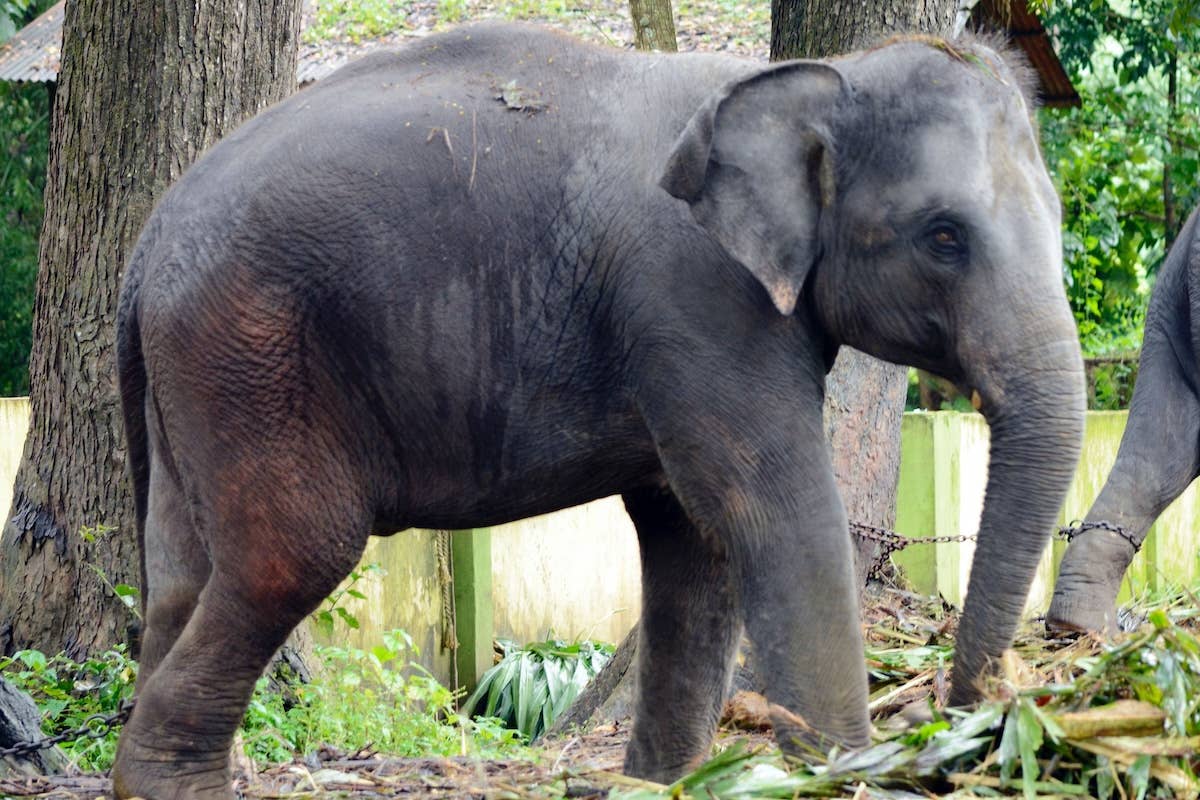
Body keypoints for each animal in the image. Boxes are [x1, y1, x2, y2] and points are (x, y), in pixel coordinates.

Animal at [111, 22, 1084, 799]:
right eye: (944, 237)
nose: (977, 723)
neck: (815, 75)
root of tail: (148, 241)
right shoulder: (697, 294)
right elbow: (774, 515)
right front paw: (845, 777)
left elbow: (693, 544)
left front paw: (663, 786)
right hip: (252, 349)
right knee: (289, 555)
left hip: (198, 378)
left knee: (184, 574)